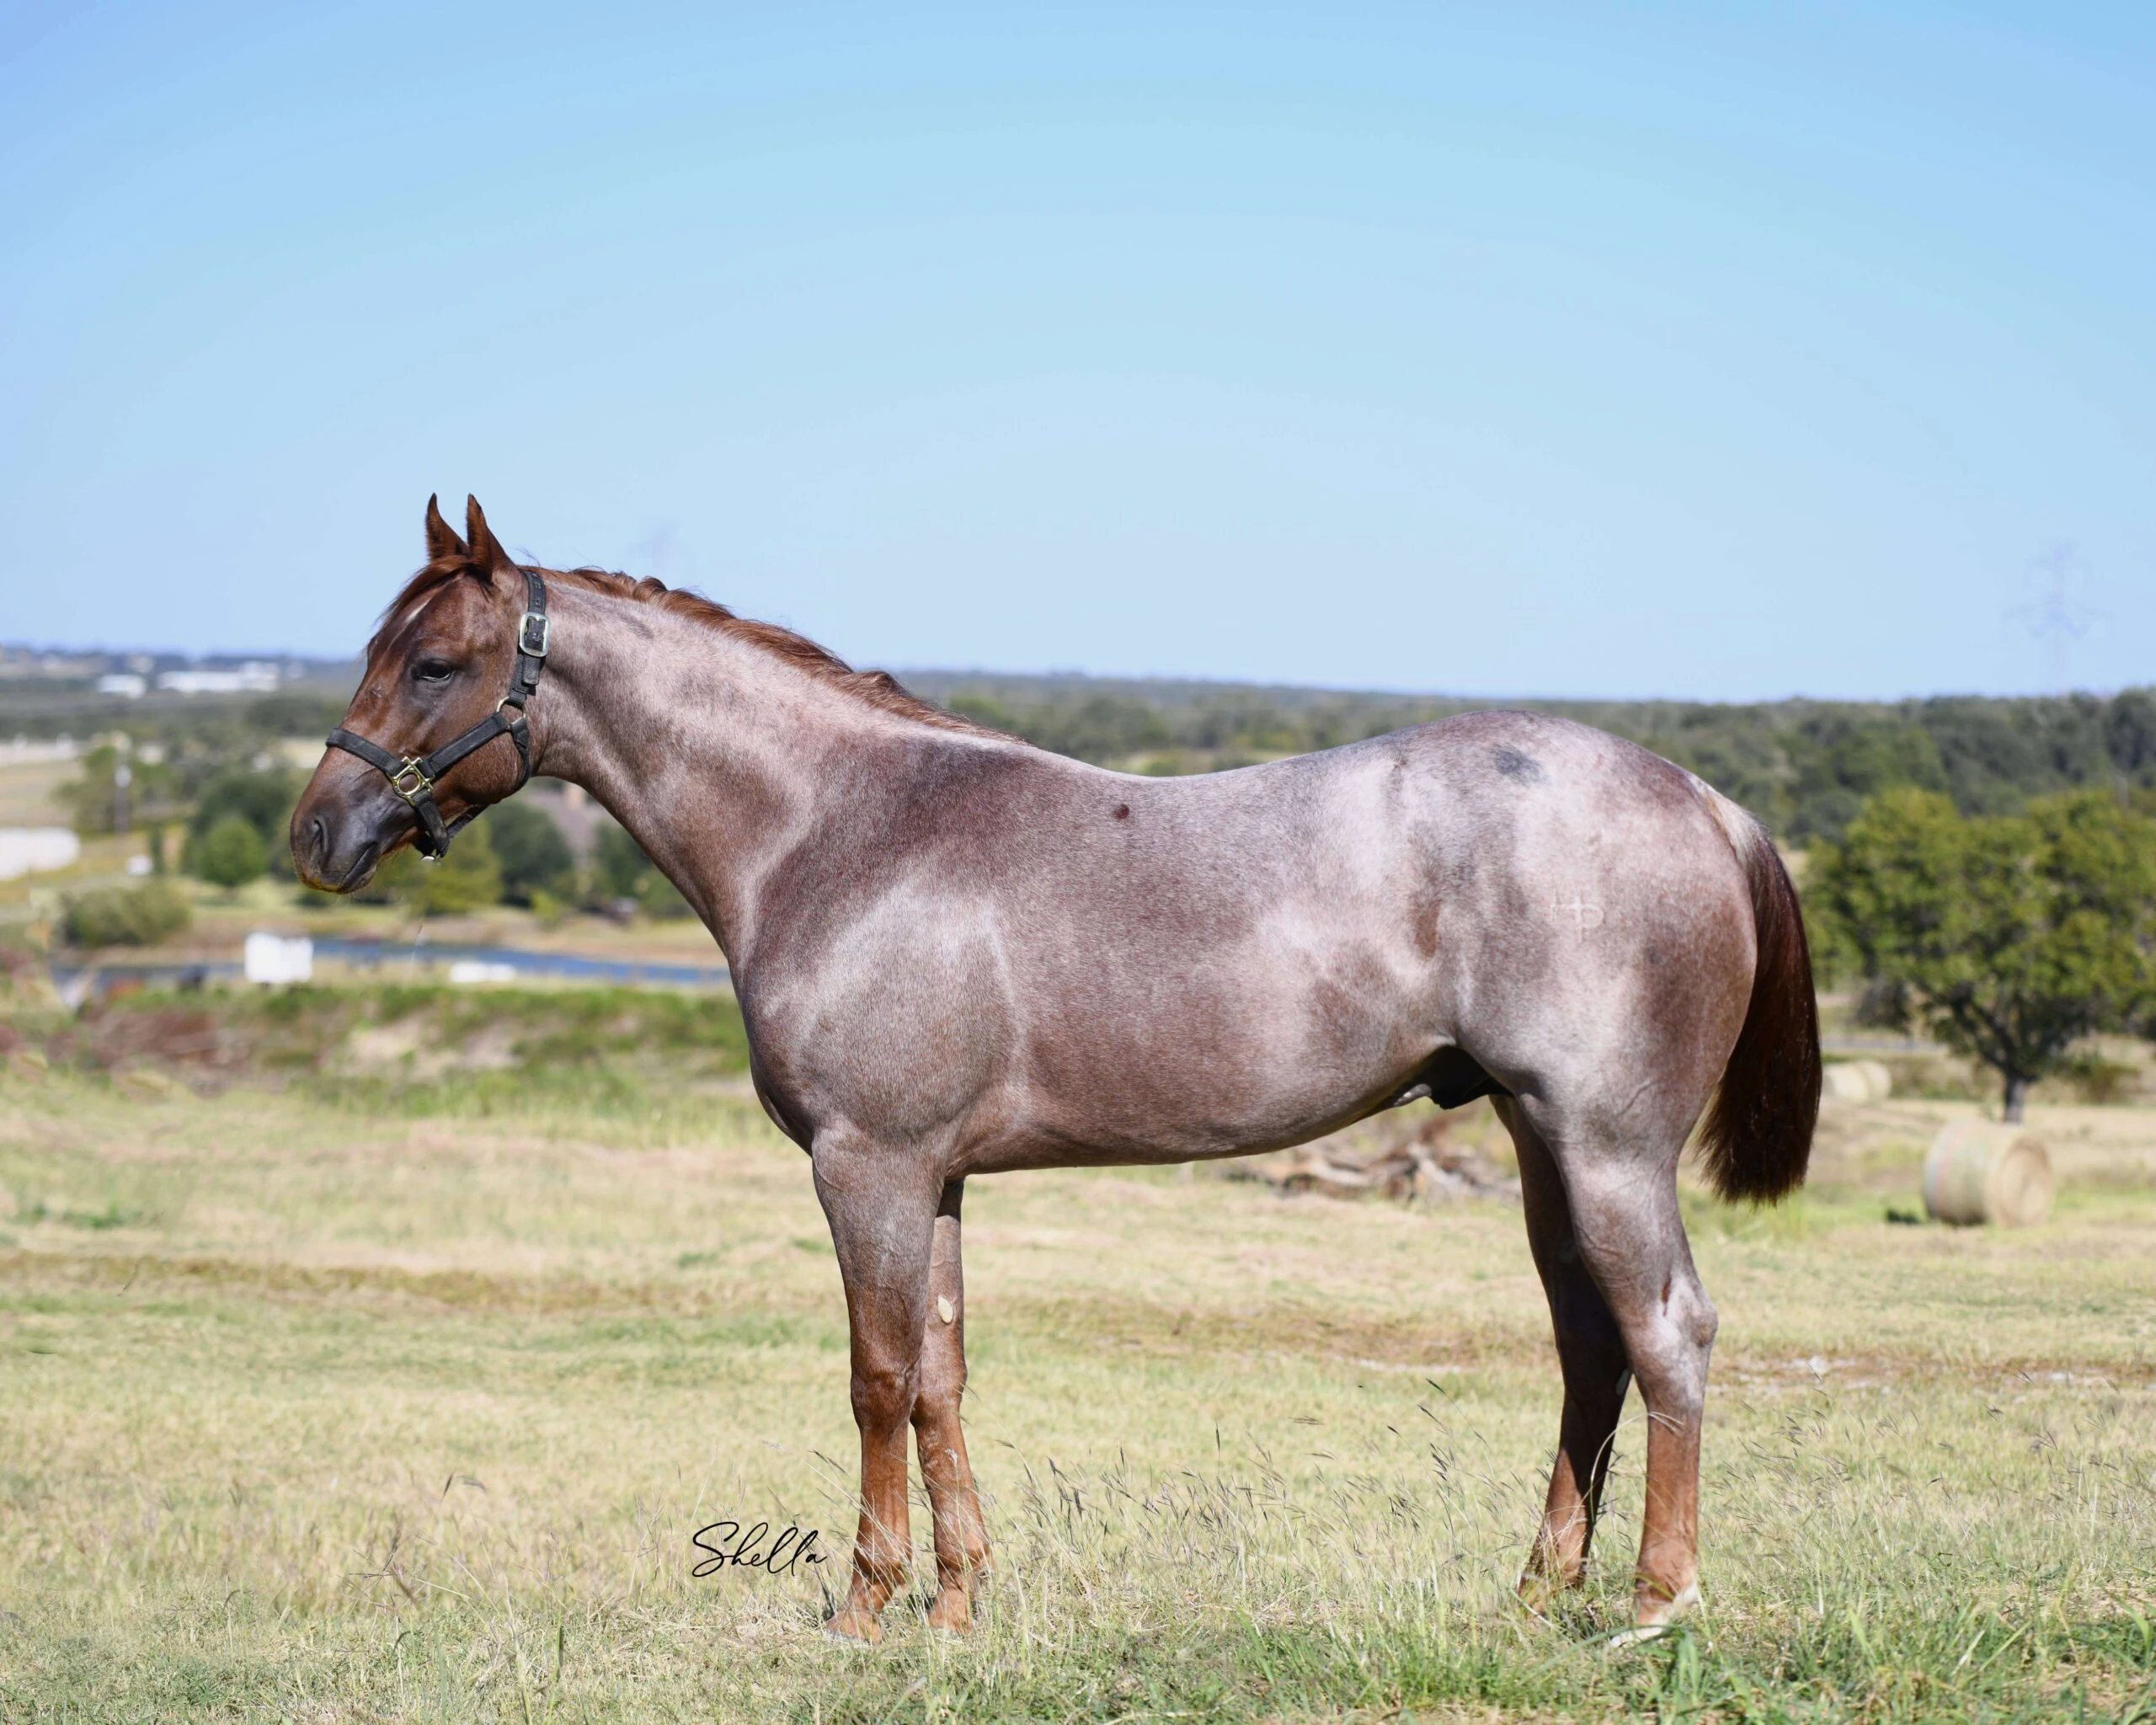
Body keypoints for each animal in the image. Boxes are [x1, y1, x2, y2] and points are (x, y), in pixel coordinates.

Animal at [293, 495, 1820, 1642]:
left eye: (435, 664)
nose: (317, 832)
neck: (837, 828)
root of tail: (1705, 798)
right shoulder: (935, 1178)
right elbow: (941, 1377)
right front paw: (961, 1603)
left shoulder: (867, 1167)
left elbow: (874, 1377)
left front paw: (866, 1609)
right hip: (1539, 1142)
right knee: (1591, 1348)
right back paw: (1537, 1592)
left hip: (1608, 1146)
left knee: (1669, 1333)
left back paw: (1657, 1606)